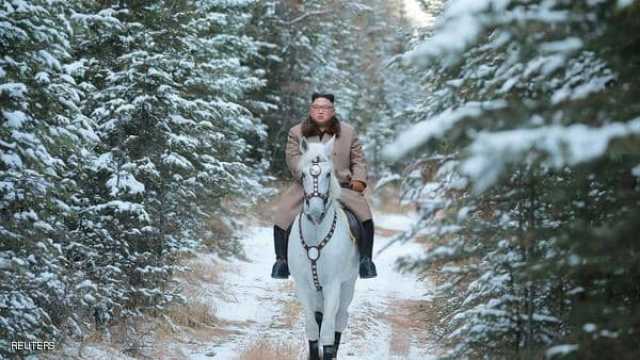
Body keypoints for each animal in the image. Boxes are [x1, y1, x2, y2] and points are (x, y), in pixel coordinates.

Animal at [286, 136, 358, 360]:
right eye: (303, 175)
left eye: (328, 174)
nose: (316, 210)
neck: (317, 233)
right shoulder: (303, 285)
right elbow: (312, 326)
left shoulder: (333, 284)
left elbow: (327, 330)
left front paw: (328, 352)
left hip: (348, 284)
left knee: (340, 318)